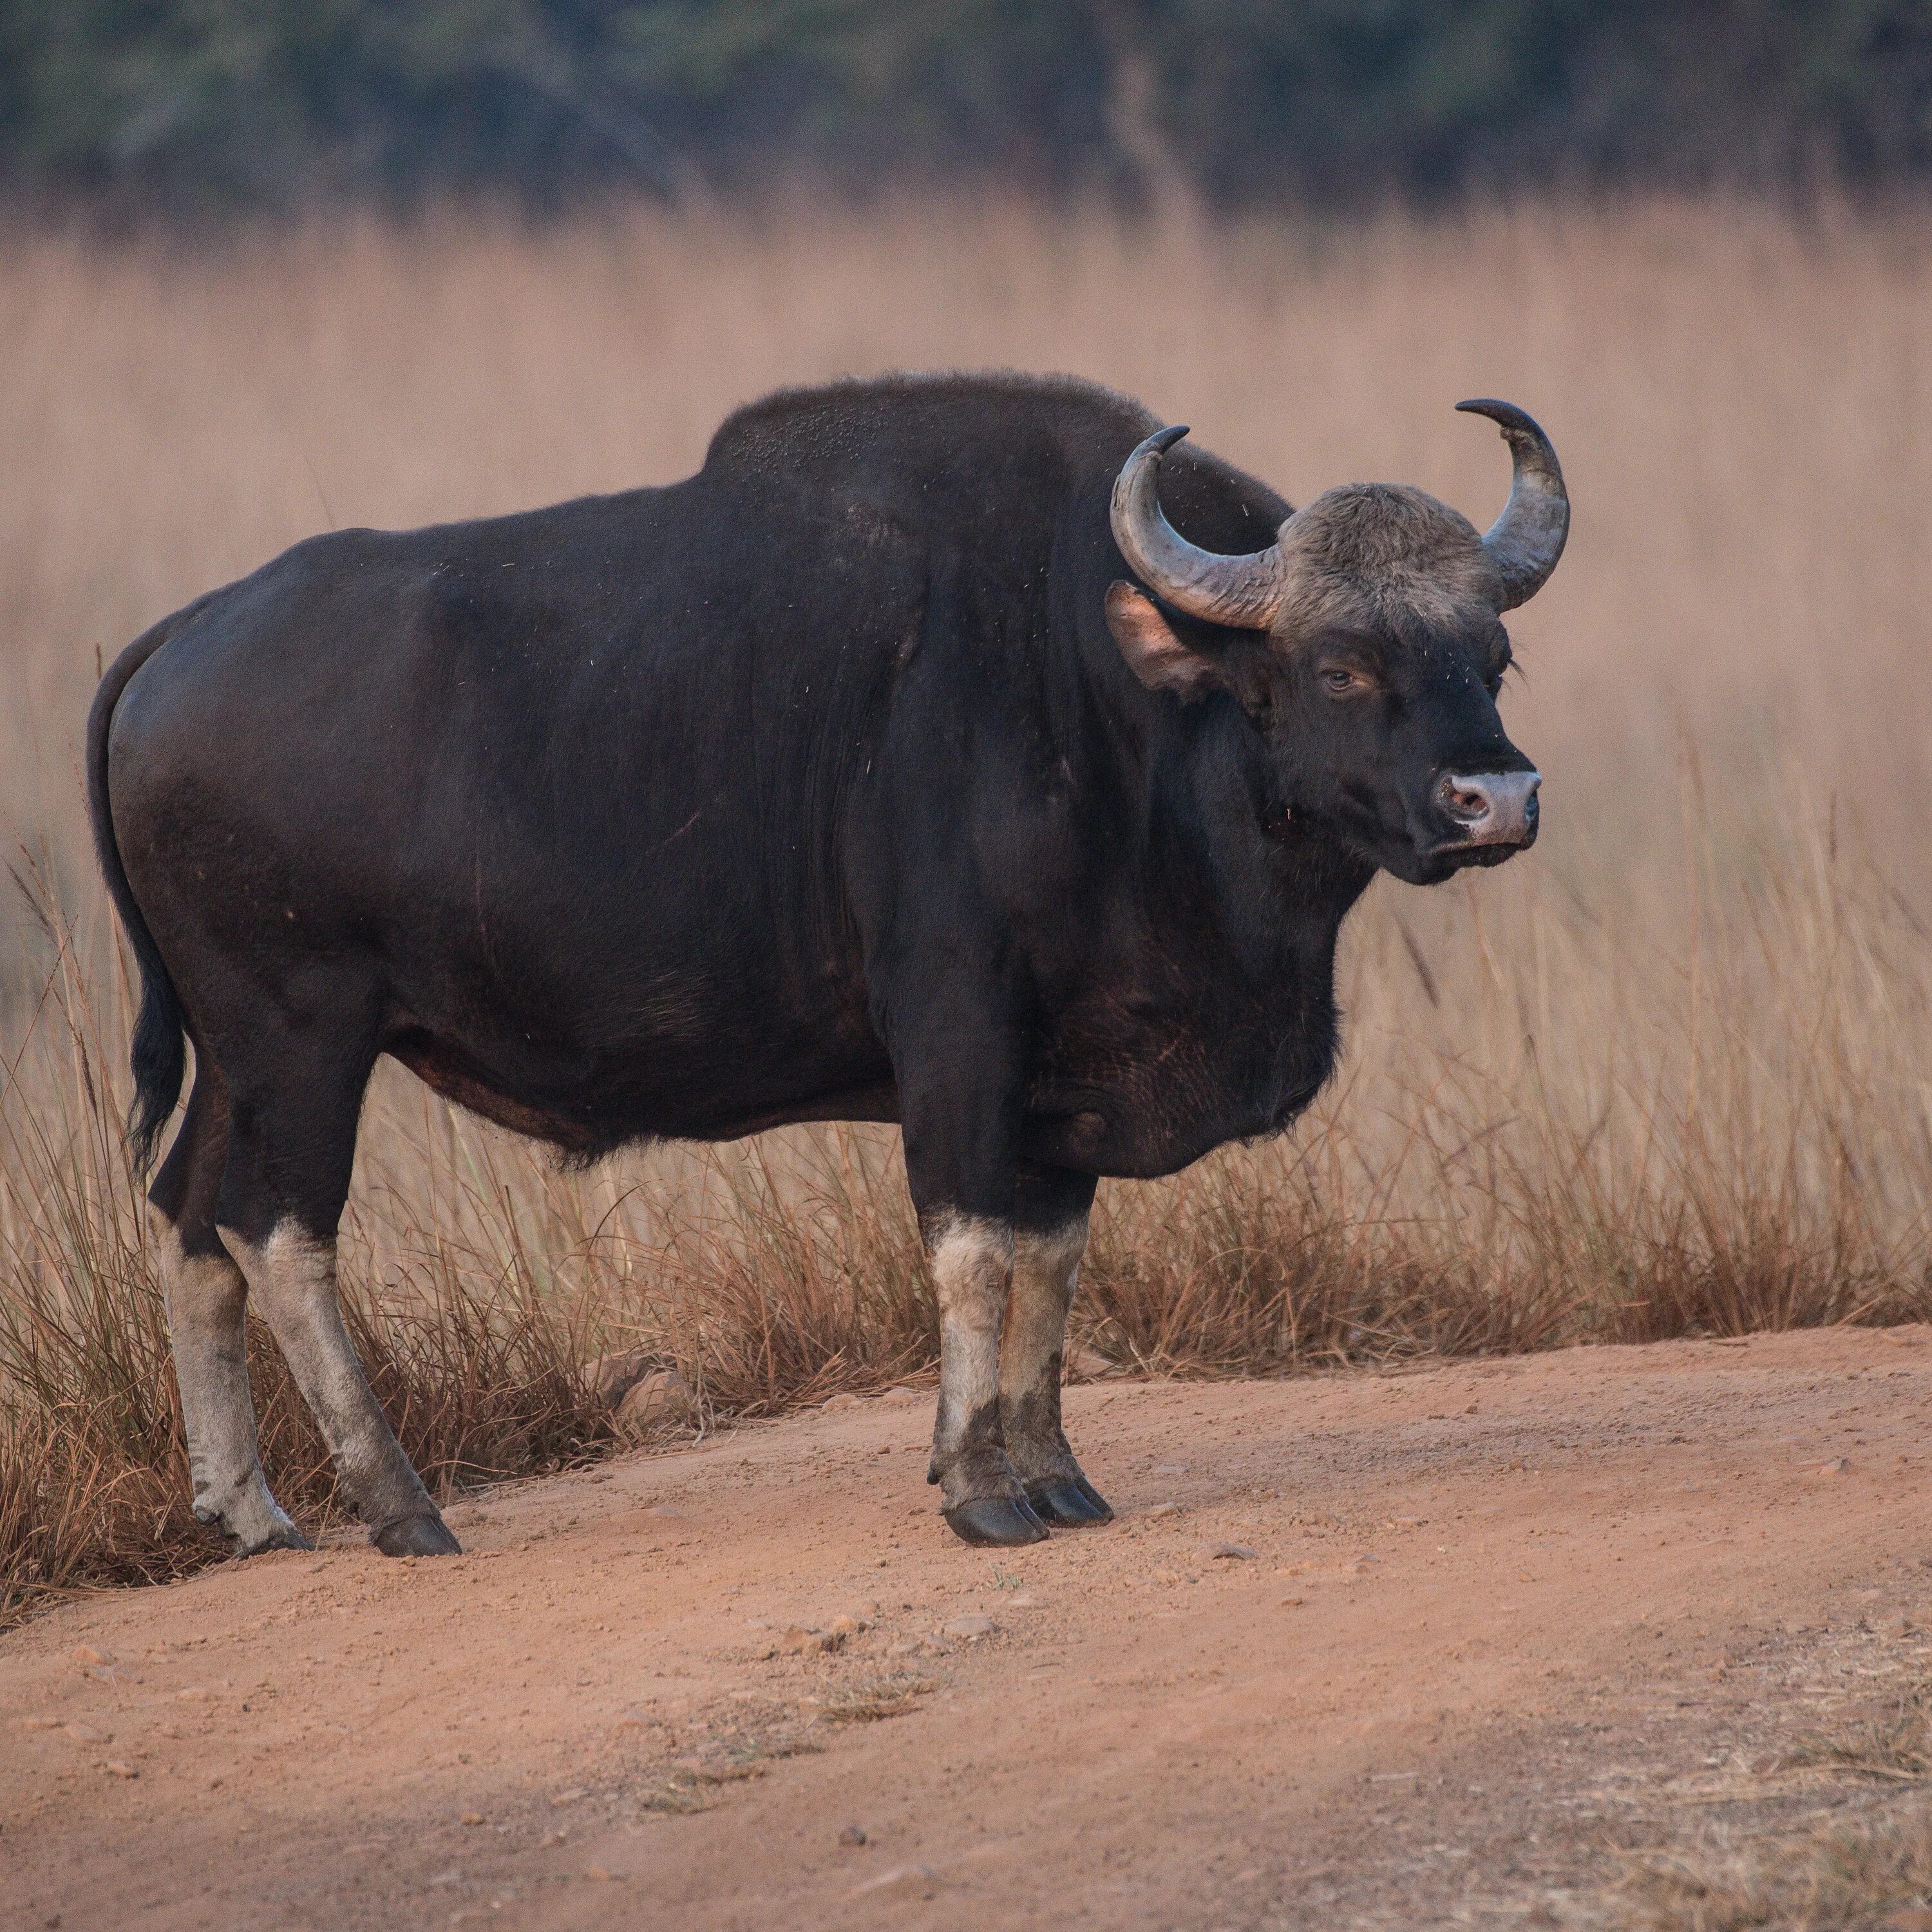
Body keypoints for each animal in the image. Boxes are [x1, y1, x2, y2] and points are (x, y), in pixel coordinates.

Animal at [87, 373, 1569, 1553]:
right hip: (302, 1040)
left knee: (190, 1218)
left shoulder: (1065, 1079)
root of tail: (181, 637)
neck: (1097, 699)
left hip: (238, 1056)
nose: (1497, 797)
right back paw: (397, 1504)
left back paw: (249, 1510)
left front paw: (1054, 1474)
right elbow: (974, 1256)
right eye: (1342, 666)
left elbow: (1051, 1268)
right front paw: (979, 1488)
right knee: (279, 1231)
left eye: (1491, 655)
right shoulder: (962, 1037)